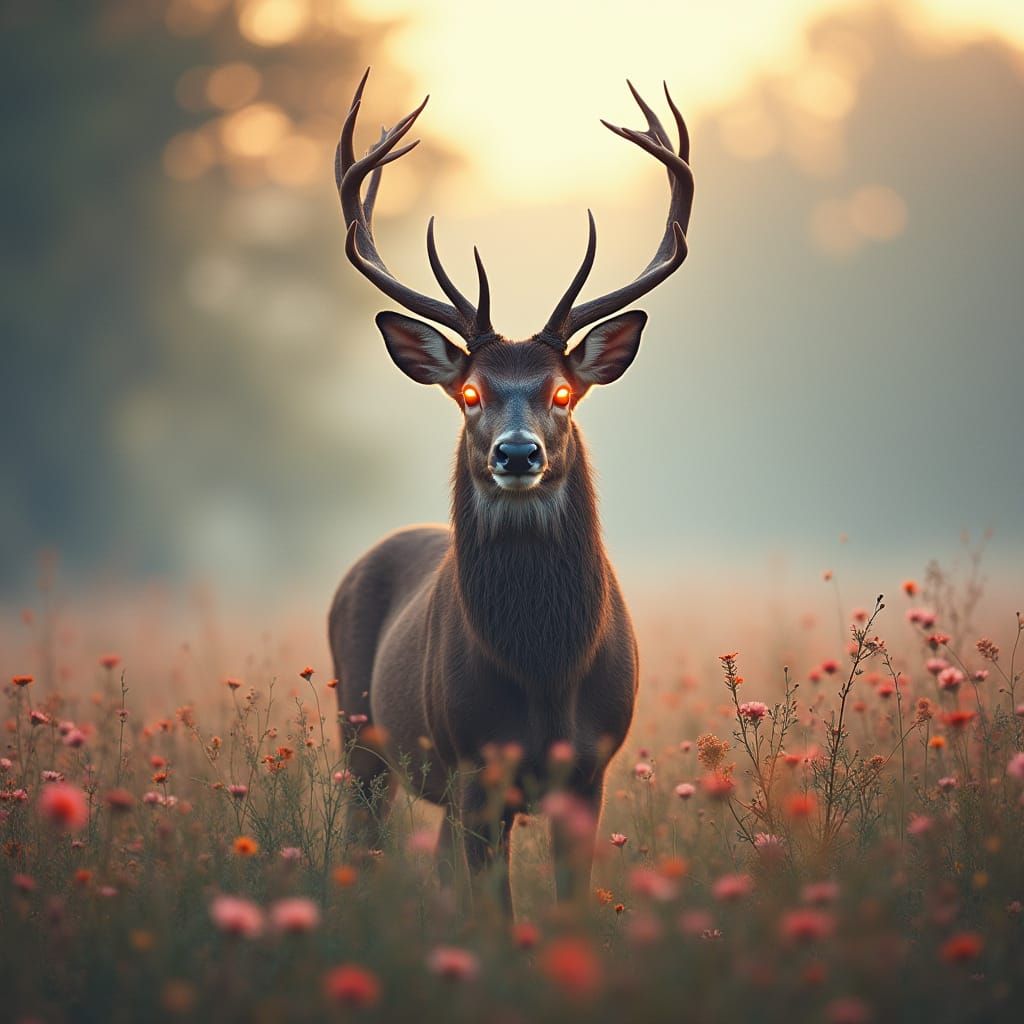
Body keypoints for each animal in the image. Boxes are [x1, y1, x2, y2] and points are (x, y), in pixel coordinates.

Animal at [328, 69, 693, 911]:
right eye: (470, 392)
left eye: (562, 392)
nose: (517, 452)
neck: (542, 671)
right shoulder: (472, 765)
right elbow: (493, 912)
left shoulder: (590, 769)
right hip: (359, 733)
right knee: (368, 842)